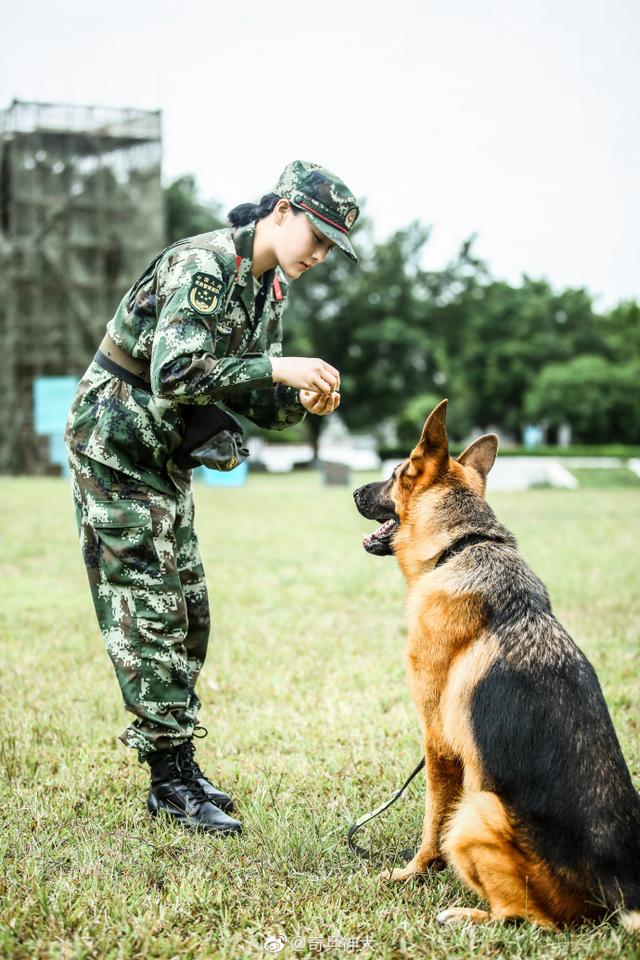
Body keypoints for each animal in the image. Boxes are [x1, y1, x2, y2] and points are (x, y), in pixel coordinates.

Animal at [352, 400, 640, 928]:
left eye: (397, 472)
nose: (355, 490)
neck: (462, 545)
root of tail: (618, 889)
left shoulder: (438, 742)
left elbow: (432, 821)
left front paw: (415, 871)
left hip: (477, 809)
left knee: (525, 918)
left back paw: (467, 915)